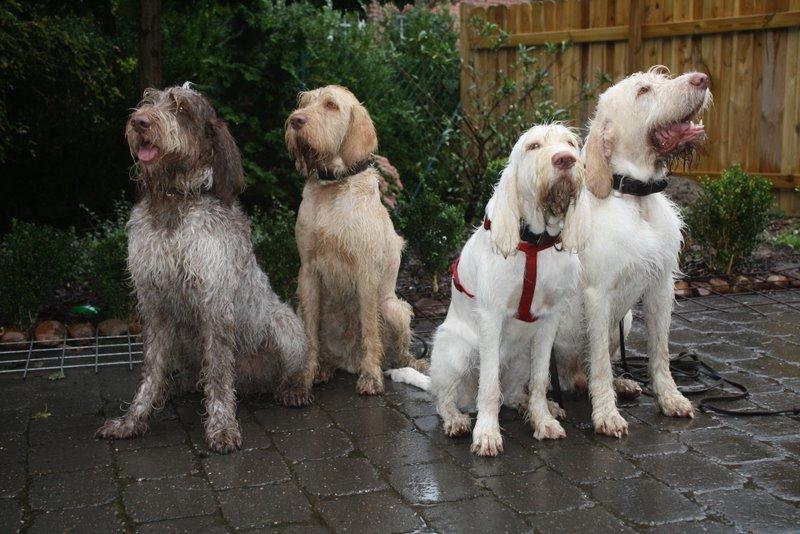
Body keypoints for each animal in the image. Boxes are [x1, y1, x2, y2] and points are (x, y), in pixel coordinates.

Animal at [96, 83, 310, 454]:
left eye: (181, 108)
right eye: (148, 101)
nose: (139, 122)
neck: (175, 202)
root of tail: (251, 381)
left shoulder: (214, 303)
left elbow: (219, 375)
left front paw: (222, 427)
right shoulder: (154, 305)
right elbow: (150, 373)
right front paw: (133, 420)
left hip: (285, 325)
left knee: (283, 369)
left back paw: (293, 389)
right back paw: (176, 387)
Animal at [285, 85, 428, 396]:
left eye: (330, 105)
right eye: (305, 102)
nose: (295, 121)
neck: (334, 186)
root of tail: (347, 363)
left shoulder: (366, 272)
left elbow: (370, 331)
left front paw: (371, 376)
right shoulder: (307, 271)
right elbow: (310, 334)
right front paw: (302, 379)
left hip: (394, 308)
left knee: (399, 350)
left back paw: (411, 365)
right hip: (301, 304)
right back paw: (324, 368)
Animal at [389, 123, 589, 456]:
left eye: (571, 144)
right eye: (534, 146)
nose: (565, 160)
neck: (534, 243)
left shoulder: (550, 319)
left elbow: (539, 380)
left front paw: (543, 419)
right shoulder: (492, 316)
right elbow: (490, 386)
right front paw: (487, 433)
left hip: (521, 357)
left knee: (513, 393)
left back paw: (530, 406)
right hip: (456, 351)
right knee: (443, 399)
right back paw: (456, 419)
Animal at [552, 68, 712, 437]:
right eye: (643, 91)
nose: (702, 78)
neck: (635, 198)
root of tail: (569, 375)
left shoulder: (661, 287)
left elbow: (660, 353)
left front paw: (669, 398)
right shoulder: (598, 294)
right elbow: (599, 363)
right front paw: (606, 415)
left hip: (623, 321)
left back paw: (621, 382)